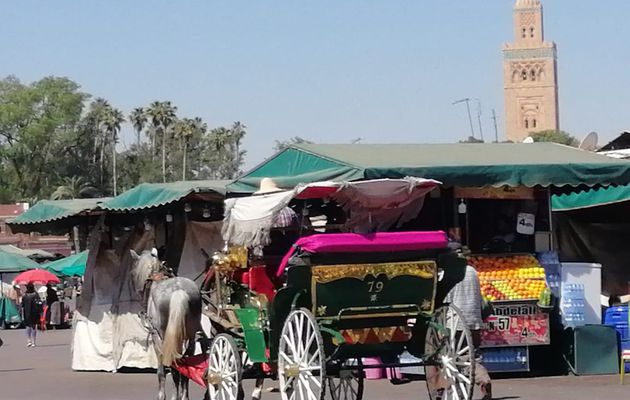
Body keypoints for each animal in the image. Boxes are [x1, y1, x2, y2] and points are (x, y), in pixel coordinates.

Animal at [130, 250, 205, 400]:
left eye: (134, 272)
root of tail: (179, 292)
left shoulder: (156, 338)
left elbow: (161, 370)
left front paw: (162, 395)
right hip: (191, 336)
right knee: (185, 363)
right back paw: (184, 396)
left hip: (165, 336)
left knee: (174, 365)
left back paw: (175, 396)